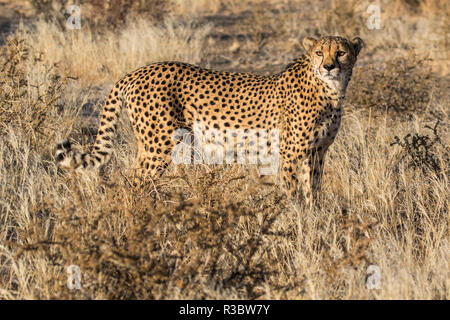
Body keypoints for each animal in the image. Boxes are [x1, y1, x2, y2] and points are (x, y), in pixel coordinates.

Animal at [56, 35, 364, 205]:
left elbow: (314, 191)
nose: (329, 66)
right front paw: (299, 225)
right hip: (159, 146)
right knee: (133, 182)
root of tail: (137, 71)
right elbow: (295, 195)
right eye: (319, 52)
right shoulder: (290, 154)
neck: (330, 90)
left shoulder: (317, 153)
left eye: (341, 52)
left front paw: (315, 219)